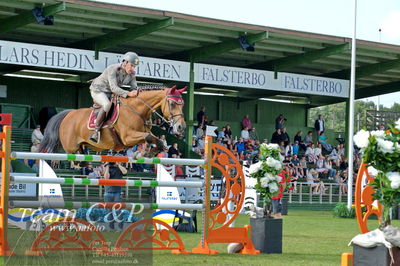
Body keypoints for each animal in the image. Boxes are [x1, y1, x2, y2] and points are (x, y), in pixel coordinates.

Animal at [39, 85, 186, 155]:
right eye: (172, 104)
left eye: (183, 104)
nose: (181, 127)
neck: (137, 110)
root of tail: (68, 114)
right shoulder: (127, 137)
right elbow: (149, 137)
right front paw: (144, 153)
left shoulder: (143, 133)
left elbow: (156, 139)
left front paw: (148, 152)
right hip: (70, 147)